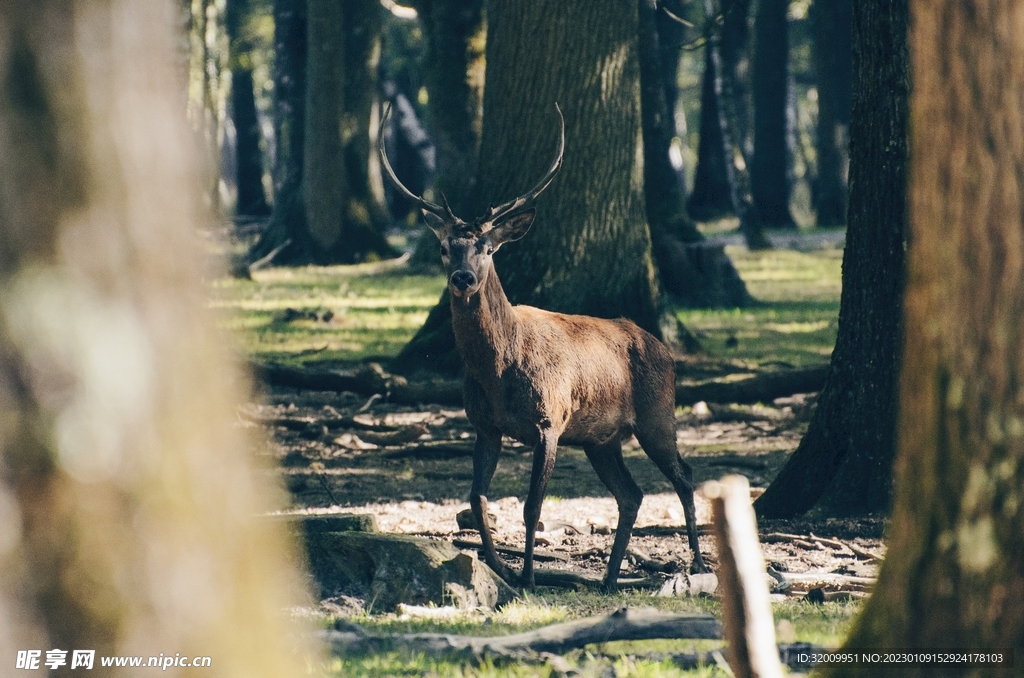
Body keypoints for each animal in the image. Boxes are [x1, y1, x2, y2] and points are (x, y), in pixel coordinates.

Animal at [379, 105, 707, 589]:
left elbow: (532, 507)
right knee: (631, 494)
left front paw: (529, 577)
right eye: (444, 248)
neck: (497, 371)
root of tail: (664, 349)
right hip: (600, 439)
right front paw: (499, 567)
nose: (463, 278)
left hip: (656, 414)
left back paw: (698, 565)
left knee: (684, 476)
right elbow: (476, 499)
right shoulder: (485, 425)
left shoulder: (549, 420)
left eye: (487, 248)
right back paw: (609, 579)